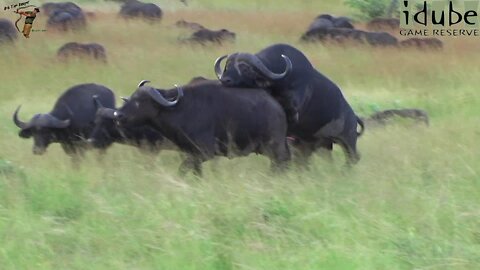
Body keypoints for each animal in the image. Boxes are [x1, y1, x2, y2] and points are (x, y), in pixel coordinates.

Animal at [114, 78, 290, 175]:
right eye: (131, 98)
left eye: (140, 101)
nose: (118, 115)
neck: (180, 109)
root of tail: (276, 107)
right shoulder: (191, 154)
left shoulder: (204, 153)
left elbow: (182, 170)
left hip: (274, 147)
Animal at [214, 43, 364, 165]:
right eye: (227, 67)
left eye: (244, 68)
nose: (225, 80)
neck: (278, 83)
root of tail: (353, 117)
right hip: (319, 146)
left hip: (348, 141)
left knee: (353, 158)